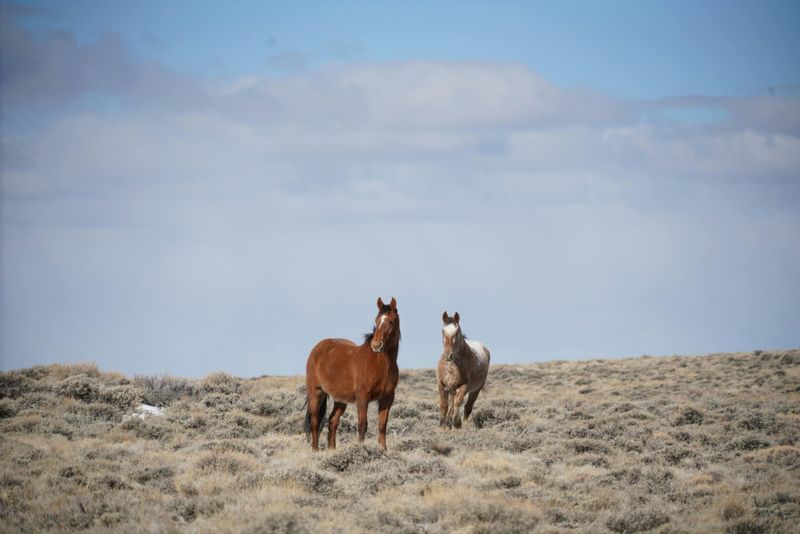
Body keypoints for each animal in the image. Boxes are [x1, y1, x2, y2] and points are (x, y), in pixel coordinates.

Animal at [305, 297, 401, 451]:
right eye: (376, 321)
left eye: (391, 321)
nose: (376, 345)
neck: (380, 364)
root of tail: (317, 348)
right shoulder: (362, 397)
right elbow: (362, 425)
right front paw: (361, 449)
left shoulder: (387, 398)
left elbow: (382, 425)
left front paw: (383, 450)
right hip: (316, 392)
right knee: (315, 422)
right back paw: (315, 450)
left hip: (340, 400)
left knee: (332, 421)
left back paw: (332, 450)